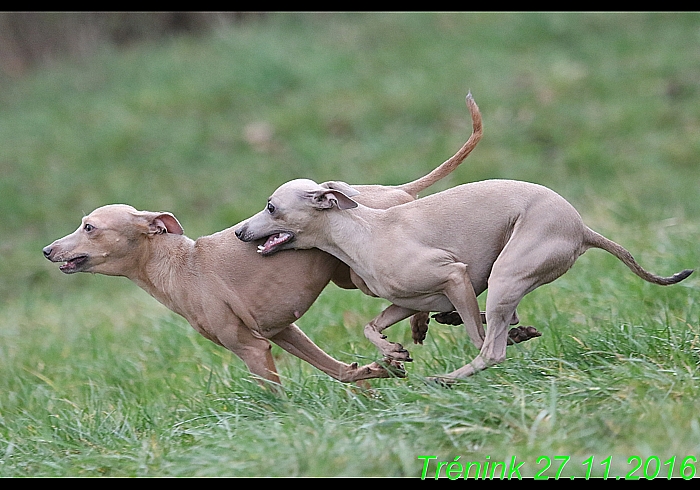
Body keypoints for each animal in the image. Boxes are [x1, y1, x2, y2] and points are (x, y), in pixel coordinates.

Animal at [42, 94, 482, 384]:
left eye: (89, 226)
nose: (47, 250)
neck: (180, 267)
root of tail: (396, 190)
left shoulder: (251, 348)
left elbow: (274, 398)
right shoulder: (280, 331)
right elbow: (340, 372)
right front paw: (374, 371)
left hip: (357, 276)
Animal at [237, 177, 696, 382]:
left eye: (271, 206)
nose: (240, 231)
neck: (362, 233)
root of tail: (582, 228)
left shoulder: (454, 276)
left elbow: (477, 332)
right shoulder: (409, 301)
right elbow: (371, 325)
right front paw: (393, 350)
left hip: (507, 272)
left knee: (490, 348)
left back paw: (451, 376)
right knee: (493, 329)